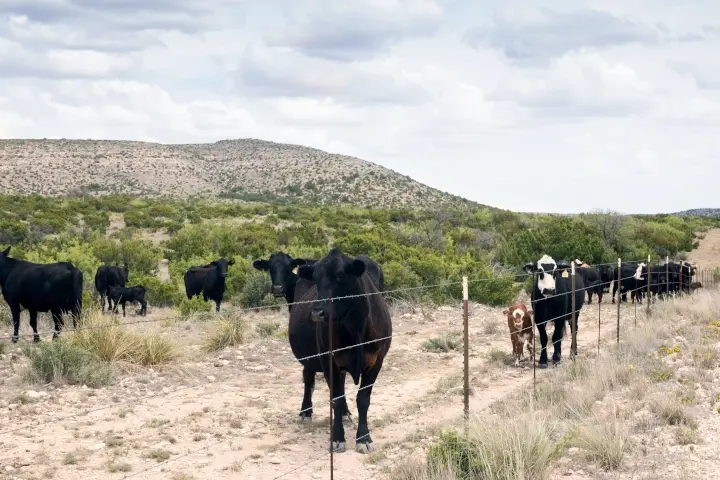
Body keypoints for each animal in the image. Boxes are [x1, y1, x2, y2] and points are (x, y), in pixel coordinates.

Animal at [296, 249, 390, 456]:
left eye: (341, 275)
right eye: (316, 278)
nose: (317, 313)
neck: (354, 327)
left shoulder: (377, 360)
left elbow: (363, 399)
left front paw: (363, 438)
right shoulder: (327, 360)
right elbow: (336, 400)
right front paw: (338, 438)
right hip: (310, 359)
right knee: (309, 381)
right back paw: (306, 412)